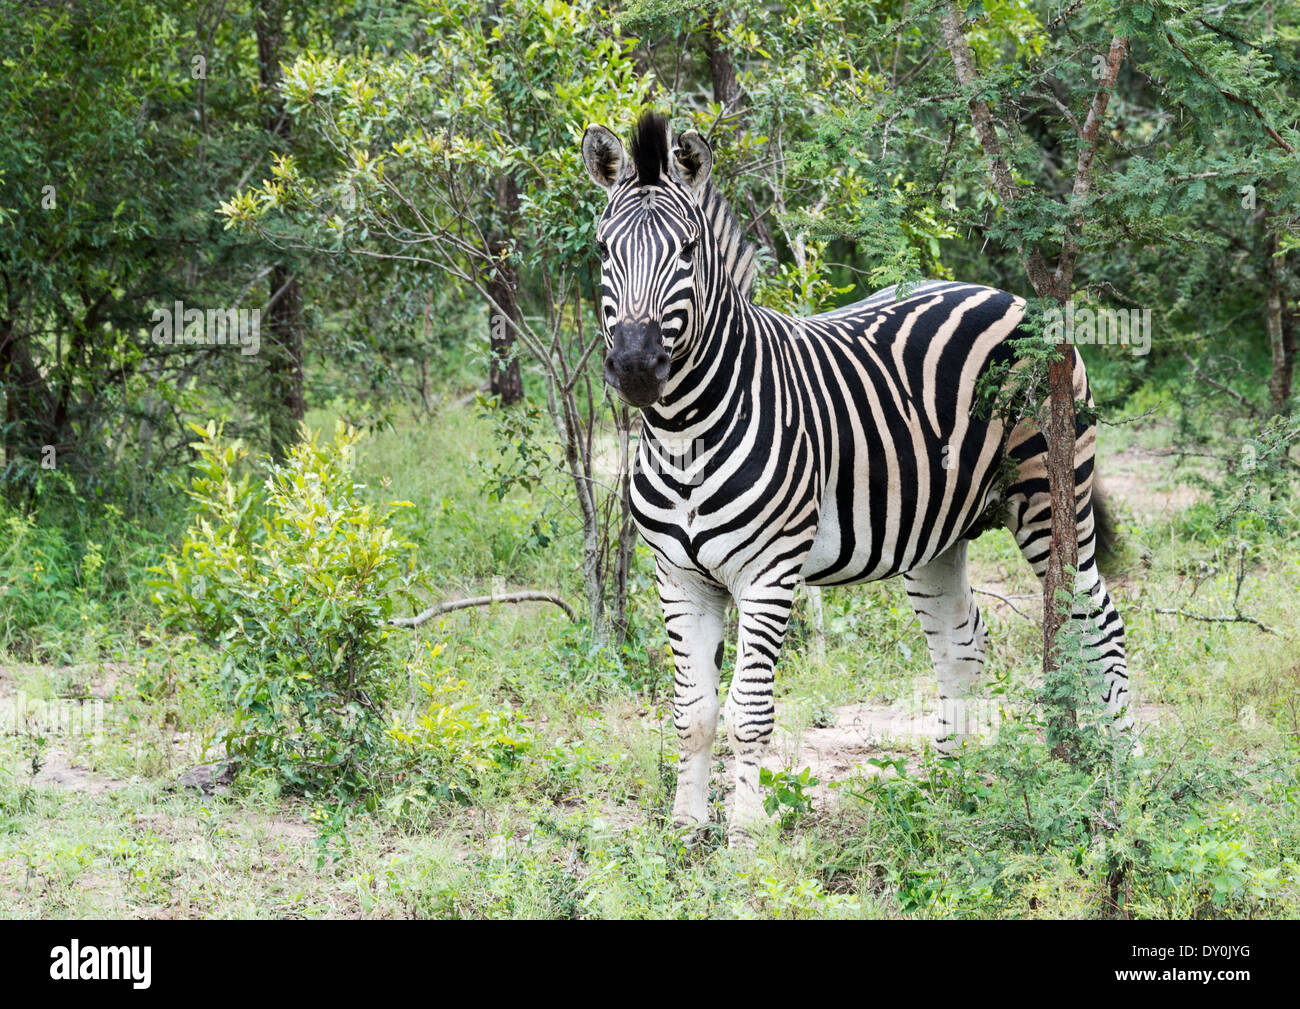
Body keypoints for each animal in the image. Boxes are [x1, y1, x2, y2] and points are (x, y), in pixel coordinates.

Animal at [585, 112, 1133, 842]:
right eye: (603, 250)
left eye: (688, 252)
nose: (637, 367)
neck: (684, 433)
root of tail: (1010, 295)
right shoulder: (678, 577)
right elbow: (693, 713)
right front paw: (685, 831)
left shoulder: (768, 572)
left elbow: (747, 711)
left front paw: (746, 837)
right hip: (937, 532)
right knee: (962, 643)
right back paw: (947, 795)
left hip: (1050, 497)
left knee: (1100, 622)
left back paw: (1126, 774)